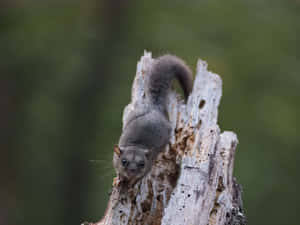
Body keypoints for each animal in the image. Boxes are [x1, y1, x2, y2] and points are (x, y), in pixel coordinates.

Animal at [112, 55, 192, 185]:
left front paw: (131, 183)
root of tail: (155, 107)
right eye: (124, 161)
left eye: (142, 164)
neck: (136, 145)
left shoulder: (148, 167)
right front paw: (120, 178)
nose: (132, 171)